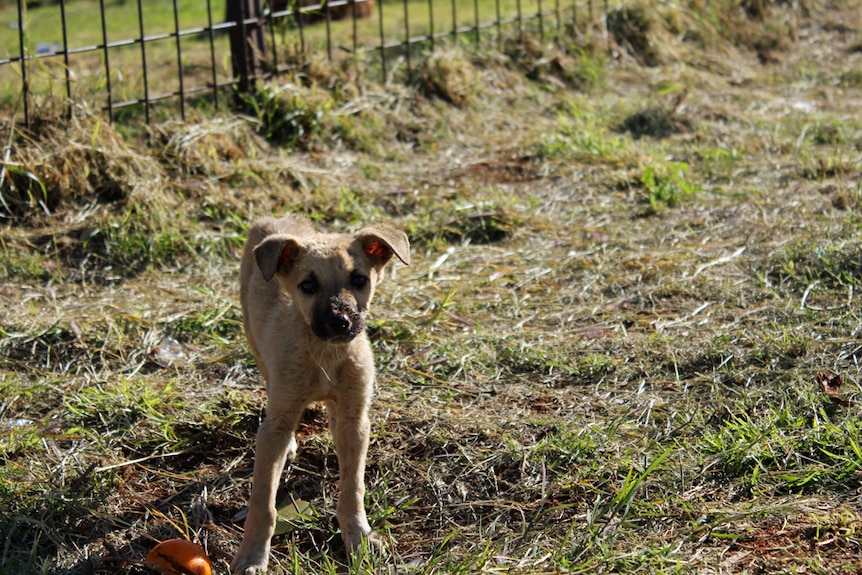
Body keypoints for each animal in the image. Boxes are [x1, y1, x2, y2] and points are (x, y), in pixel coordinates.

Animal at [233, 214, 412, 572]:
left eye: (359, 279)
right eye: (308, 286)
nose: (340, 321)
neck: (324, 357)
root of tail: (276, 219)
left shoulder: (355, 419)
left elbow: (353, 489)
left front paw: (359, 538)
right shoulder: (276, 423)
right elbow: (263, 503)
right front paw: (252, 554)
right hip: (255, 343)